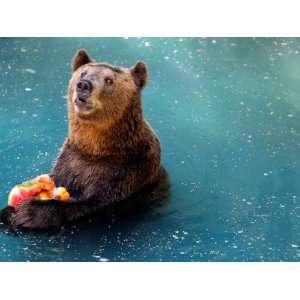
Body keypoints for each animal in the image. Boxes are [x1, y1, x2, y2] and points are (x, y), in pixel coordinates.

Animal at [0, 48, 166, 230]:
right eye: (83, 73)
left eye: (109, 80)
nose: (84, 85)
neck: (97, 148)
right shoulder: (69, 161)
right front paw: (9, 210)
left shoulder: (129, 170)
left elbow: (96, 202)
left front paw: (30, 211)